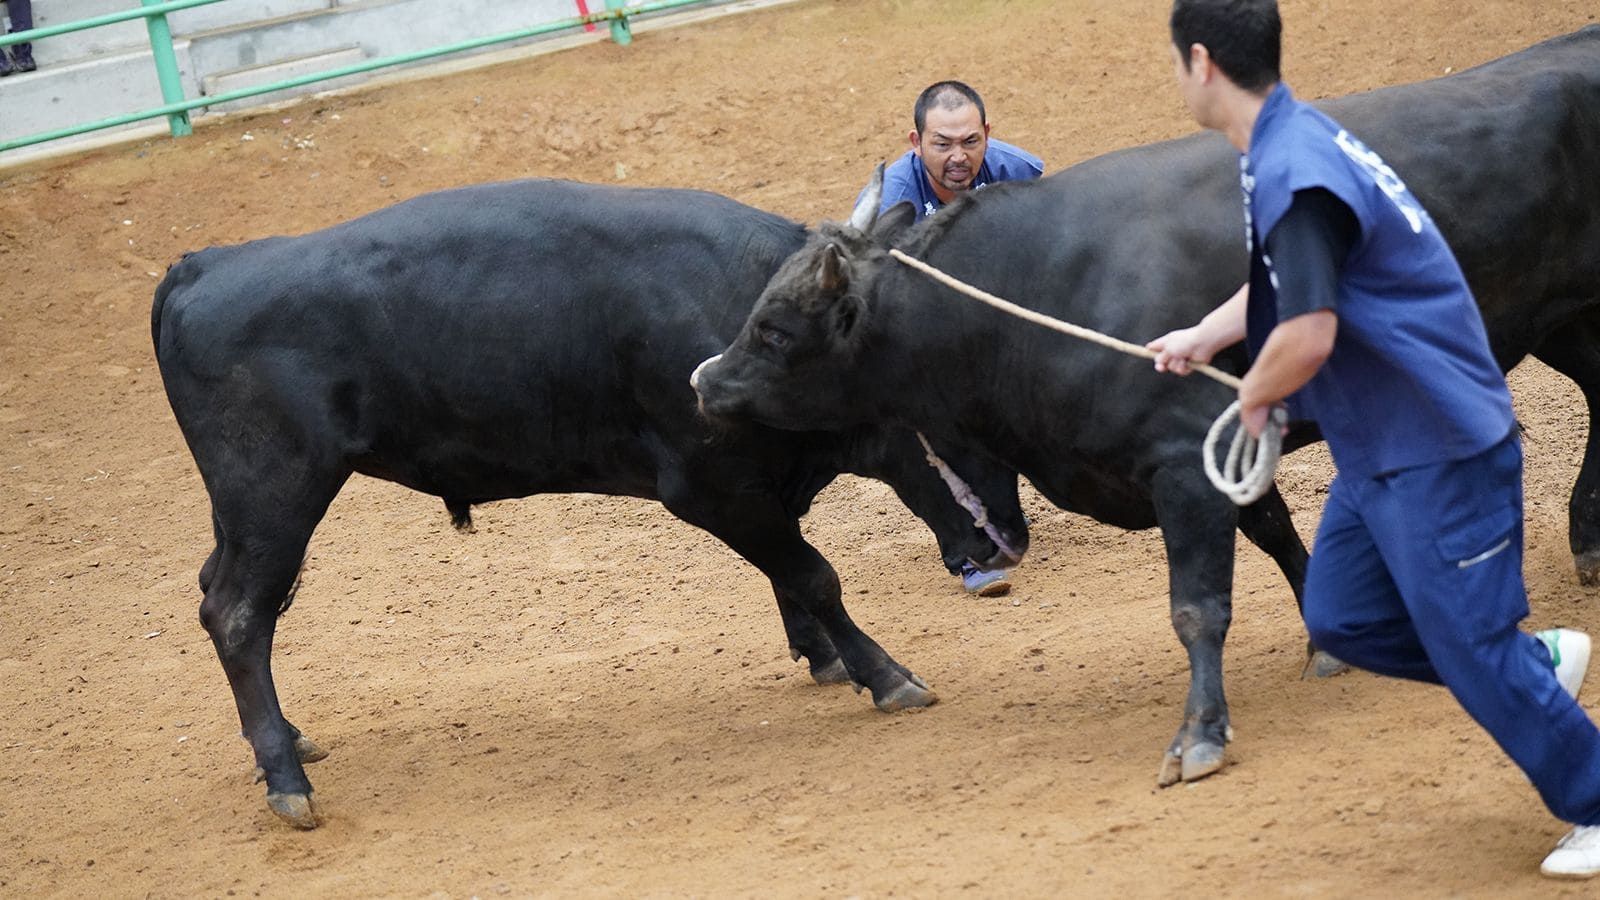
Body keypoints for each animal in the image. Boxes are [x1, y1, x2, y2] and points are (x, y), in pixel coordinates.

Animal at [150, 182, 1024, 826]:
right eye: (953, 403)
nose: (1005, 544)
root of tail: (204, 266)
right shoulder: (709, 488)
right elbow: (813, 574)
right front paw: (883, 673)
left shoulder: (757, 487)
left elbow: (793, 572)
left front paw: (825, 657)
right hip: (275, 497)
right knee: (237, 615)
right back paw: (285, 778)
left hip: (242, 513)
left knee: (215, 592)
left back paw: (290, 742)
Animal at [694, 26, 1600, 784]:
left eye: (774, 328)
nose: (704, 381)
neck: (1041, 285)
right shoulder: (1221, 445)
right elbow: (1276, 531)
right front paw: (1325, 639)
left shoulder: (1183, 458)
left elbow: (1198, 606)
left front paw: (1201, 732)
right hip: (1563, 320)